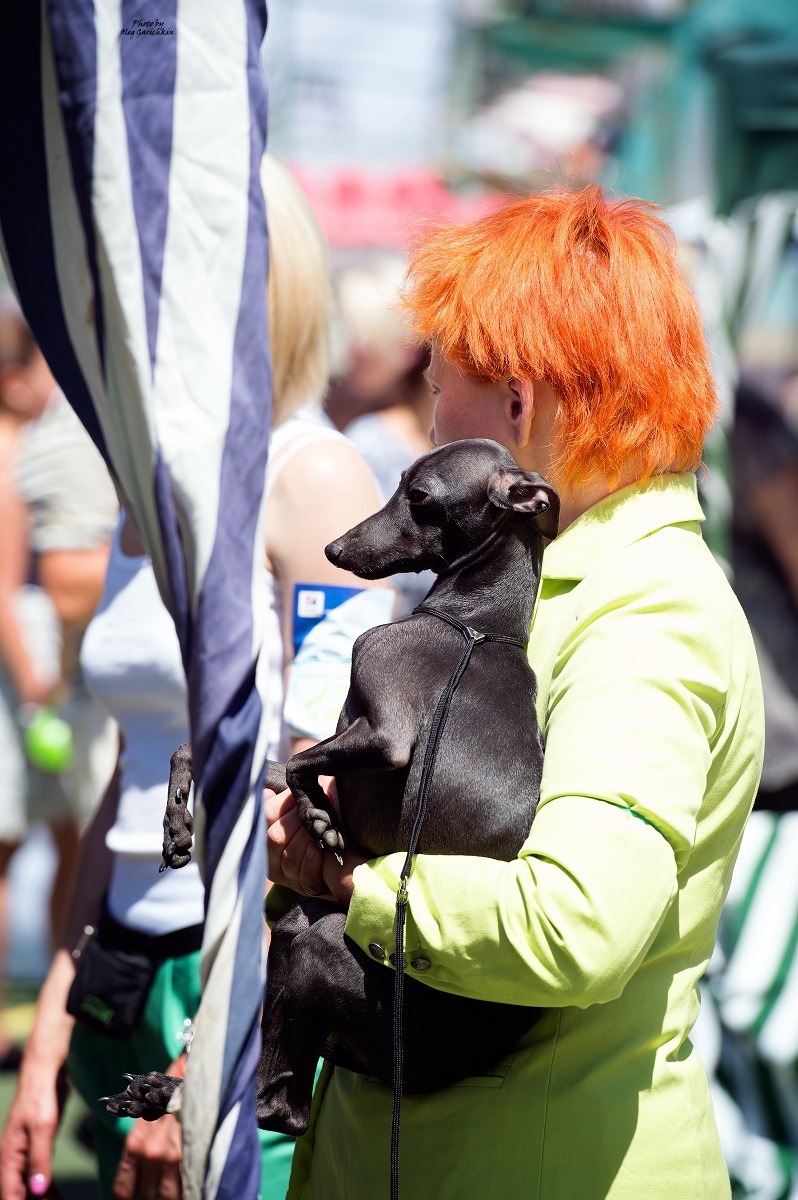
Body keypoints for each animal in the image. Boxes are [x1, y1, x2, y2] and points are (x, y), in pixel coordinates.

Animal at [102, 441, 556, 1132]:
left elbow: (293, 767)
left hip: (311, 944)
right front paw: (181, 822)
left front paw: (315, 816)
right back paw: (160, 1093)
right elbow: (221, 754)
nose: (334, 549)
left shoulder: (388, 729)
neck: (474, 624)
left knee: (277, 1106)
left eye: (419, 494)